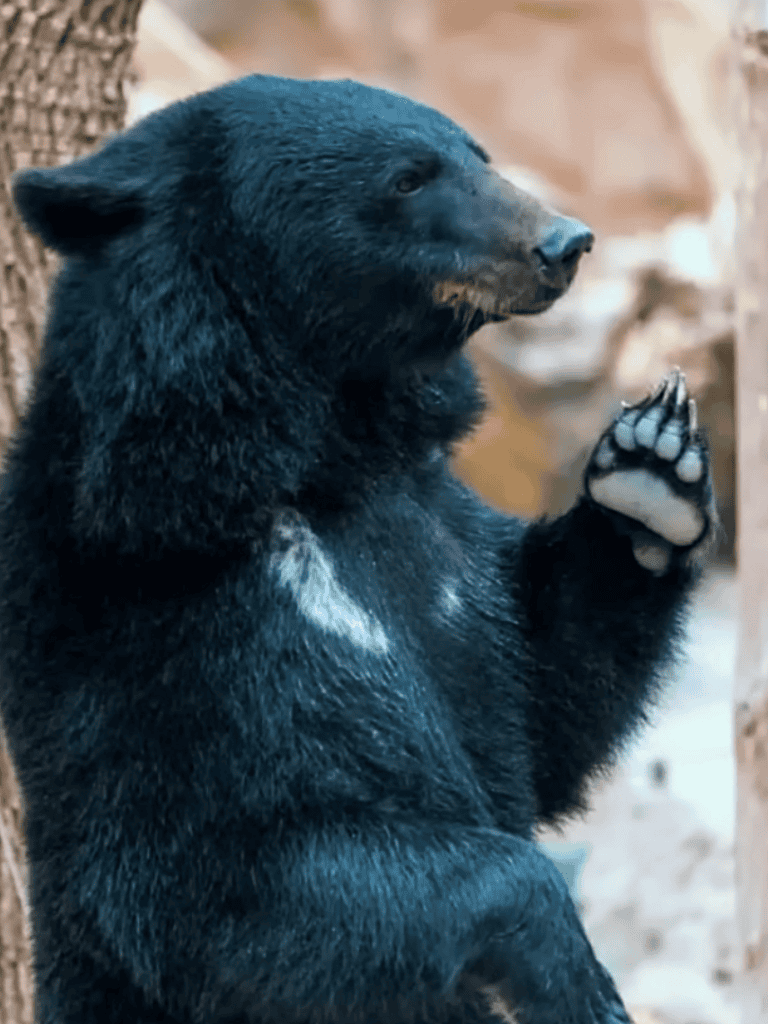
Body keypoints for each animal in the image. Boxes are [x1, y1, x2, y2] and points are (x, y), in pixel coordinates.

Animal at [0, 74, 717, 1024]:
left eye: (477, 154)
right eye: (409, 178)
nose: (565, 241)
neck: (327, 447)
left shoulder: (446, 541)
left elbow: (546, 704)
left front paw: (651, 469)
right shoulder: (160, 626)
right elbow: (222, 879)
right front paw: (580, 981)